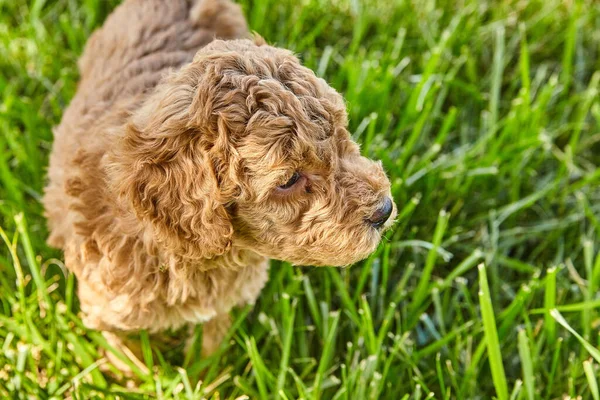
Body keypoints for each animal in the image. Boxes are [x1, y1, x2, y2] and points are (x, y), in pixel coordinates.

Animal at [43, 0, 398, 356]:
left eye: (341, 132)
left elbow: (212, 339)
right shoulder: (106, 306)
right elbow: (125, 352)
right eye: (288, 181)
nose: (384, 210)